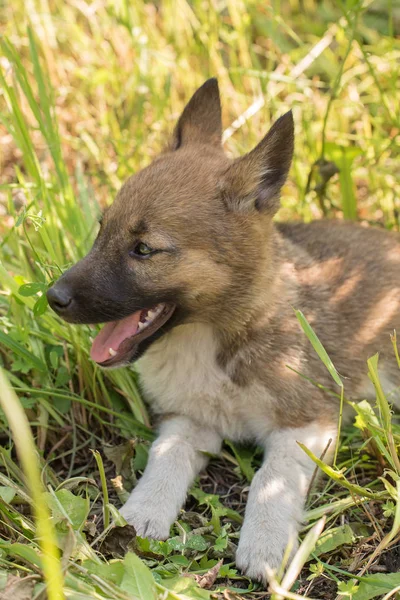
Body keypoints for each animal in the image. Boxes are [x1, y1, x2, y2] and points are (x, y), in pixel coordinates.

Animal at [47, 79, 400, 584]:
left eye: (143, 249)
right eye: (102, 228)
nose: (52, 298)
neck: (216, 339)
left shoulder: (307, 425)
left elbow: (271, 480)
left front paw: (265, 544)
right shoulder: (188, 420)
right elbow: (165, 457)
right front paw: (142, 513)